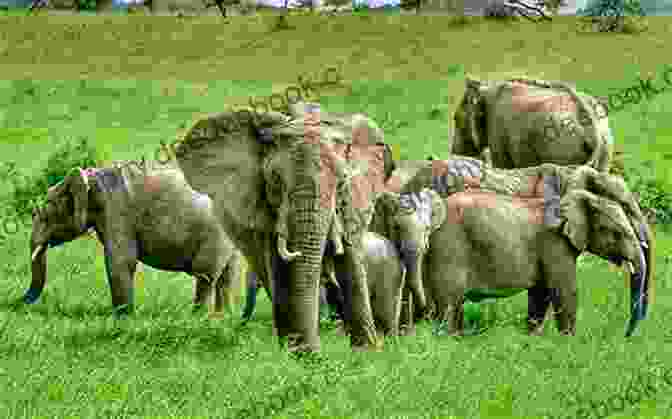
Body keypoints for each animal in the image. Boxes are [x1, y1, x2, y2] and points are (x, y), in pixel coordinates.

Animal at [172, 103, 400, 352]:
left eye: (342, 183)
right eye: (274, 181)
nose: (313, 351)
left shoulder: (352, 202)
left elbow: (350, 263)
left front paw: (366, 351)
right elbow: (279, 267)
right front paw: (298, 351)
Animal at [396, 158, 652, 338]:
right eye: (626, 208)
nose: (627, 335)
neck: (571, 171)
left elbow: (540, 293)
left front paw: (533, 339)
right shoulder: (553, 241)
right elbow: (563, 291)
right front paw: (569, 342)